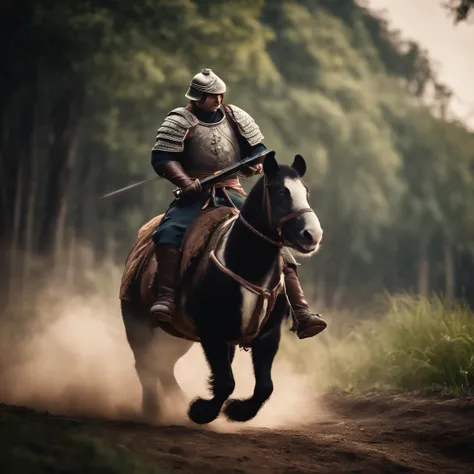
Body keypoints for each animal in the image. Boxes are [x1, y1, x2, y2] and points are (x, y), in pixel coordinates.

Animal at [120, 153, 324, 426]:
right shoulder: (212, 332)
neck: (245, 262)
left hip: (177, 337)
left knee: (162, 365)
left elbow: (264, 386)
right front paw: (201, 411)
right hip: (137, 324)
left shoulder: (267, 335)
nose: (311, 235)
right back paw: (153, 409)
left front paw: (237, 411)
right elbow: (226, 382)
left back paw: (175, 400)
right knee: (146, 365)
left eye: (306, 191)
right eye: (282, 192)